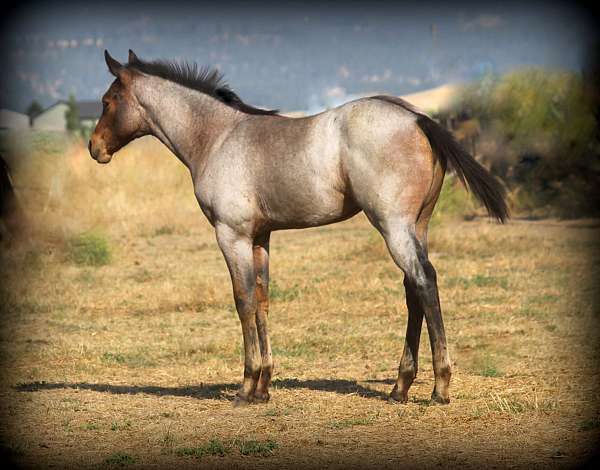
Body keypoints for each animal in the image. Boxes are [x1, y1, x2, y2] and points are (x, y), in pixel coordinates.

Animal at [91, 49, 508, 406]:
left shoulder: (231, 235)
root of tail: (418, 118)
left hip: (393, 226)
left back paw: (439, 388)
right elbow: (263, 300)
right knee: (412, 291)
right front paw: (263, 388)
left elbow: (243, 301)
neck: (217, 138)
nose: (95, 148)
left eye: (107, 101)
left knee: (424, 282)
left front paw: (245, 387)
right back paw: (400, 387)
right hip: (417, 227)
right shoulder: (260, 237)